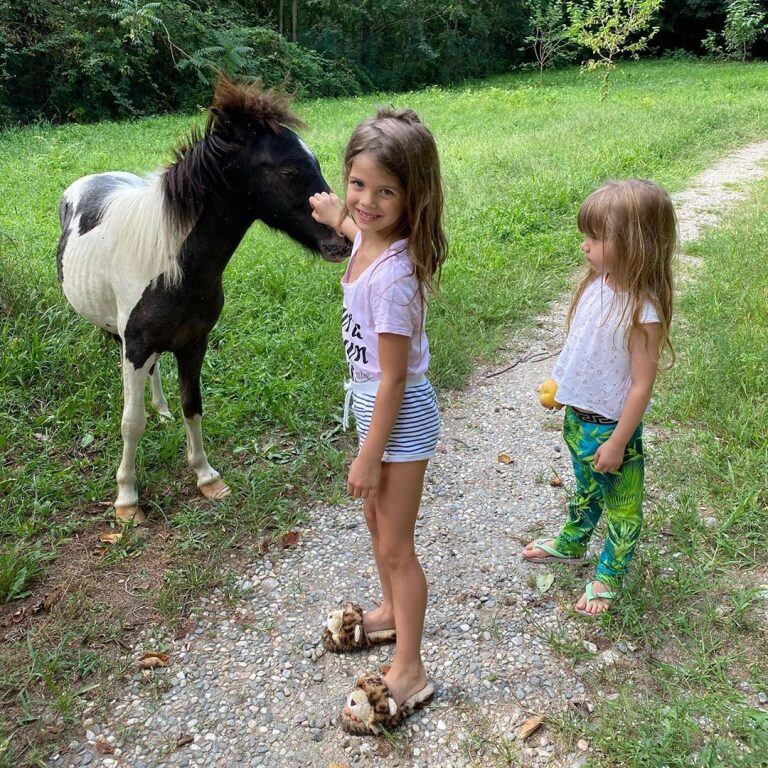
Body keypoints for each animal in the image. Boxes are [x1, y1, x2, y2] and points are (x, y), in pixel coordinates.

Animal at [57, 78, 348, 520]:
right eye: (289, 170)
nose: (343, 241)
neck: (173, 265)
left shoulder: (194, 343)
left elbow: (192, 405)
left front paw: (206, 477)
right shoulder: (136, 347)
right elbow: (131, 421)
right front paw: (127, 499)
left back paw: (161, 410)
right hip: (119, 335)